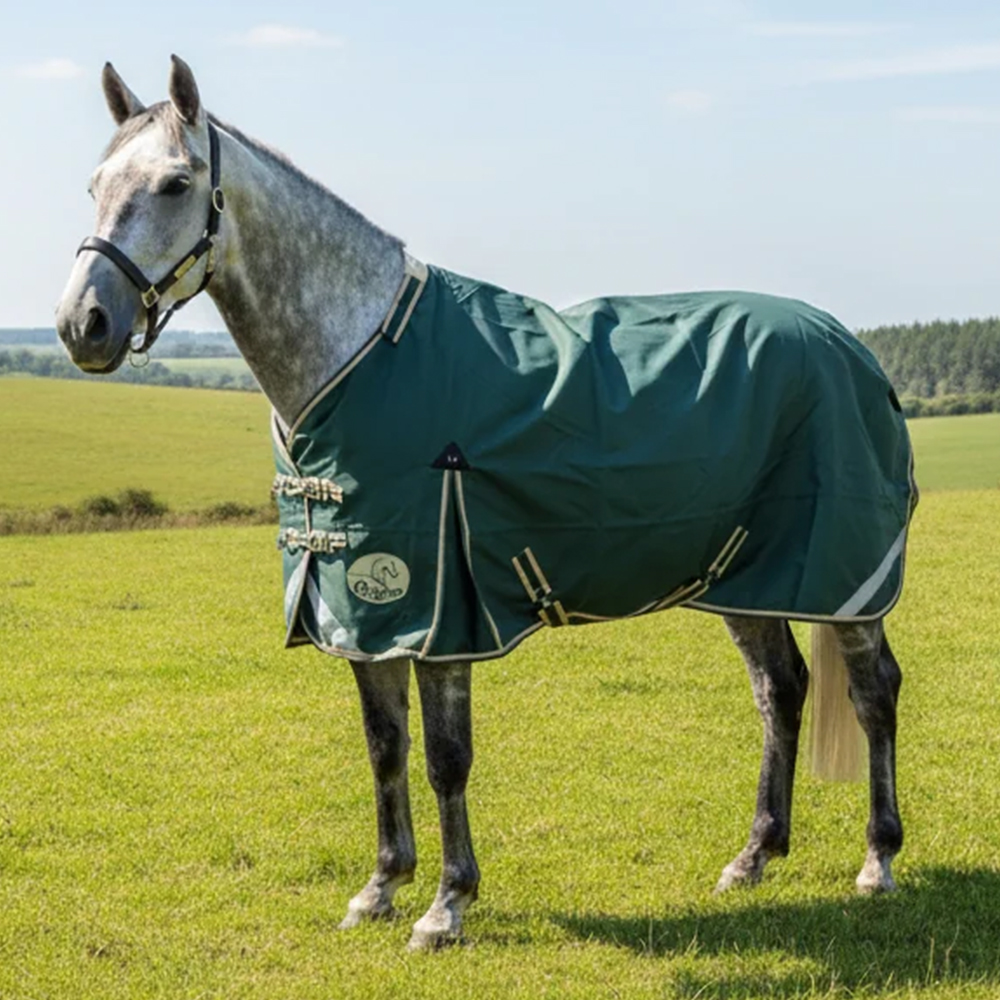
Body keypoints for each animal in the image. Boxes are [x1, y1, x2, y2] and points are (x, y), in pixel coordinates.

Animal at [55, 56, 914, 951]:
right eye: (95, 185)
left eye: (175, 183)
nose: (83, 324)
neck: (360, 354)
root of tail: (851, 348)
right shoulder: (361, 609)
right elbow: (385, 747)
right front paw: (380, 887)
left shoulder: (435, 606)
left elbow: (445, 757)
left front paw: (446, 906)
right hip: (745, 576)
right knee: (780, 690)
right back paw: (753, 857)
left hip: (845, 580)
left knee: (873, 693)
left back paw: (877, 861)